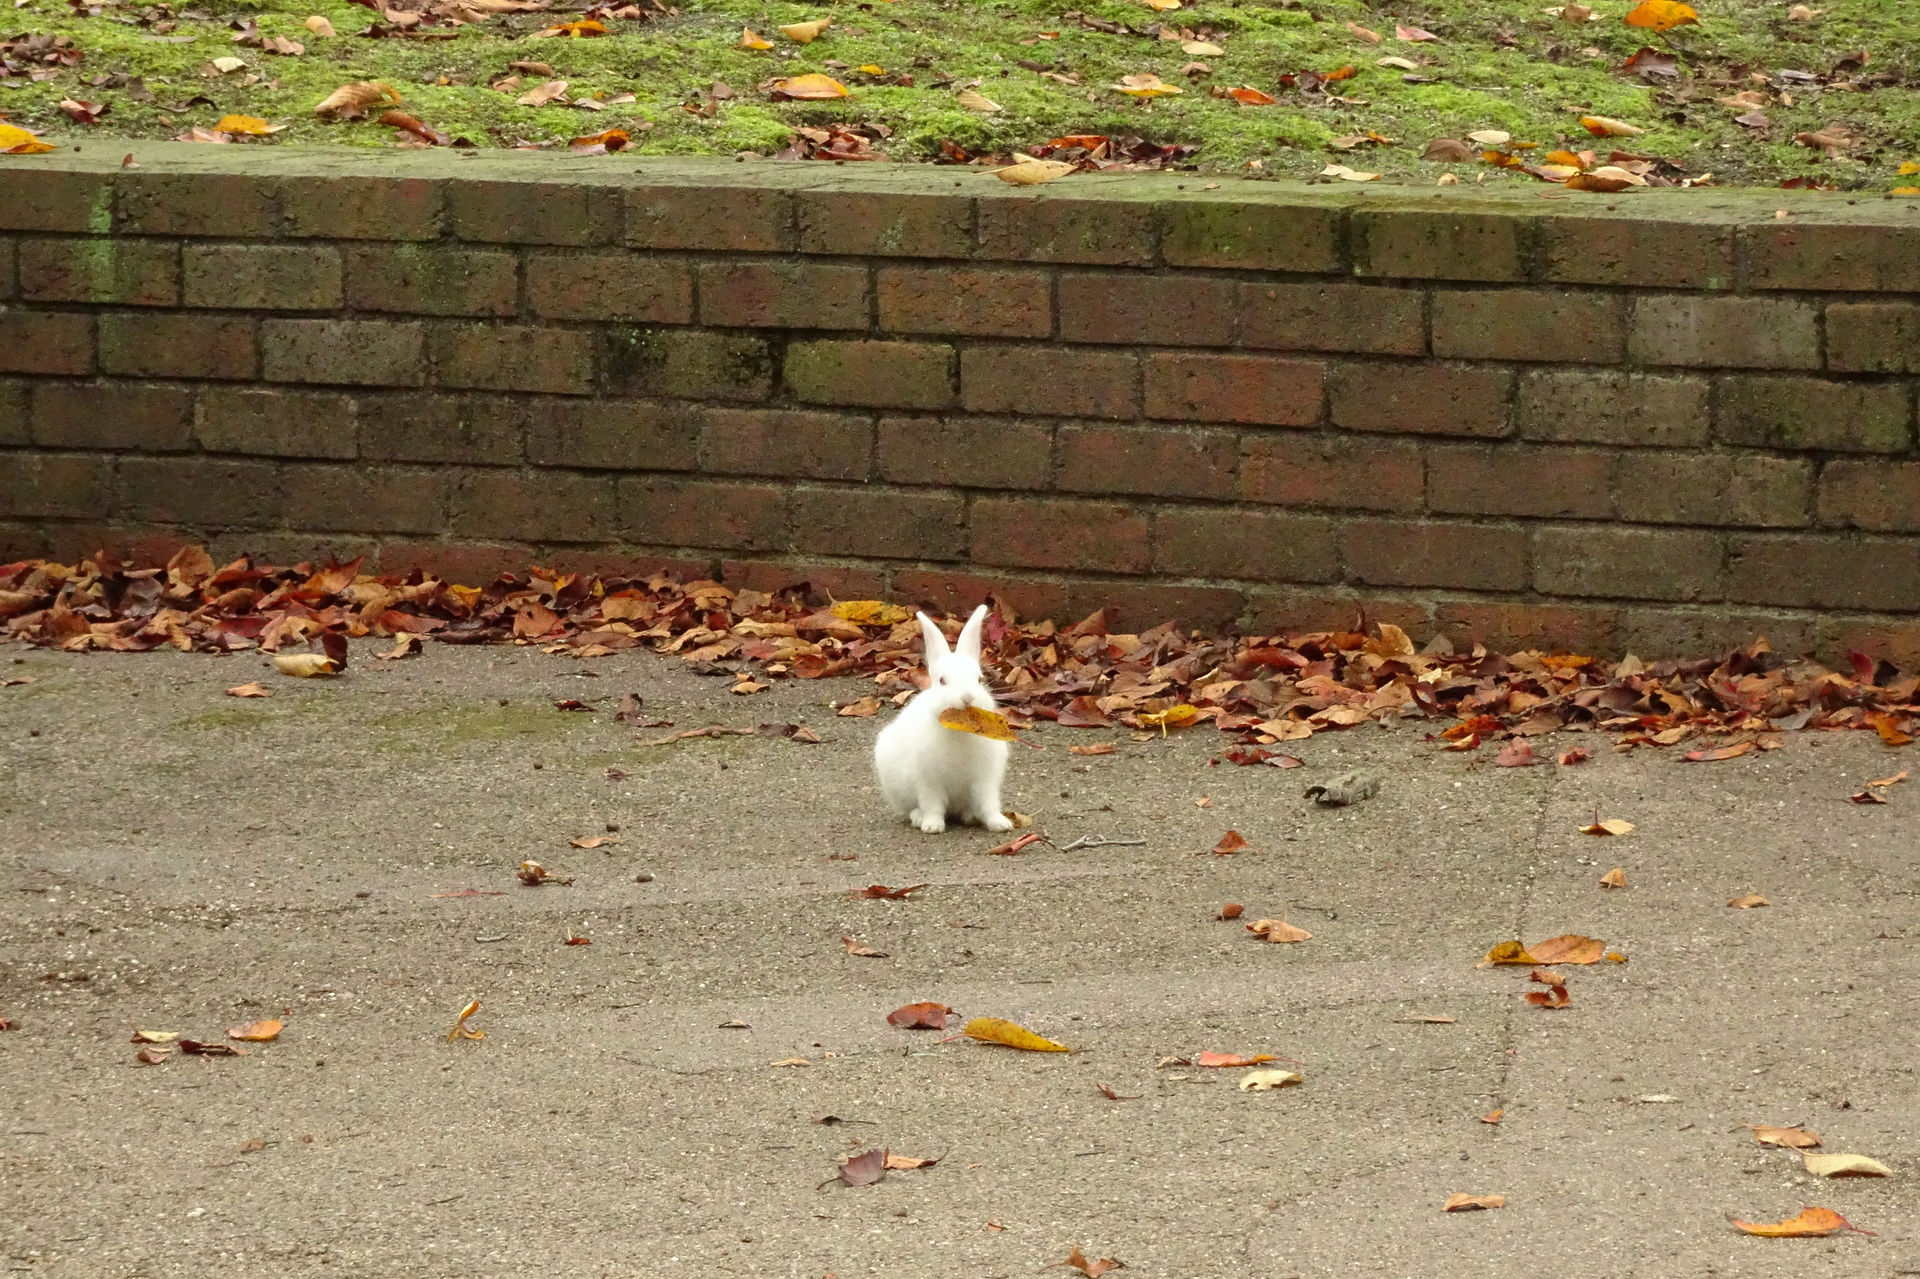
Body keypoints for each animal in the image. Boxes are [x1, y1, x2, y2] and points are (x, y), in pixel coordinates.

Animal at [874, 604, 1014, 834]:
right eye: (942, 681)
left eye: (979, 679)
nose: (967, 697)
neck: (960, 730)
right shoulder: (928, 781)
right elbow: (933, 805)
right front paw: (932, 826)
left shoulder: (984, 780)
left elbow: (989, 804)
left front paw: (1001, 824)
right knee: (911, 809)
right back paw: (919, 818)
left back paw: (970, 817)